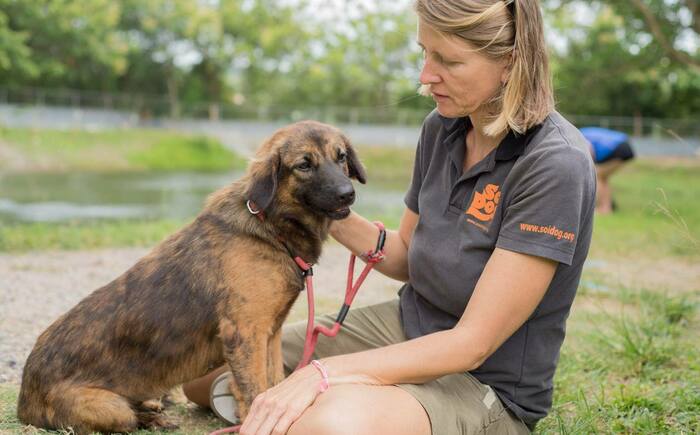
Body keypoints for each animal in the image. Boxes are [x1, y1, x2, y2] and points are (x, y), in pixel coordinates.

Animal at [16, 121, 366, 434]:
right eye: (304, 165)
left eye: (341, 157)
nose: (347, 194)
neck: (270, 227)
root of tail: (23, 399)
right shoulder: (246, 333)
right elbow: (257, 392)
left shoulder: (271, 334)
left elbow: (274, 382)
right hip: (110, 407)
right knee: (126, 417)